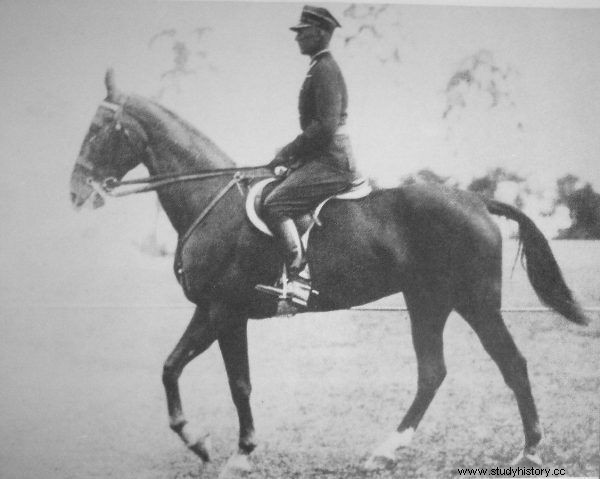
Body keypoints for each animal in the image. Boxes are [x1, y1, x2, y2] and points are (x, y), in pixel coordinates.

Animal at [69, 71, 584, 476]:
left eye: (97, 129)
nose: (76, 191)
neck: (210, 201)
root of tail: (476, 200)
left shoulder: (225, 312)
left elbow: (236, 383)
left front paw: (239, 454)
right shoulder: (211, 312)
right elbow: (171, 367)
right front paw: (198, 440)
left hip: (474, 302)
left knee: (510, 364)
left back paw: (530, 452)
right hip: (429, 302)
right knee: (434, 372)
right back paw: (386, 451)